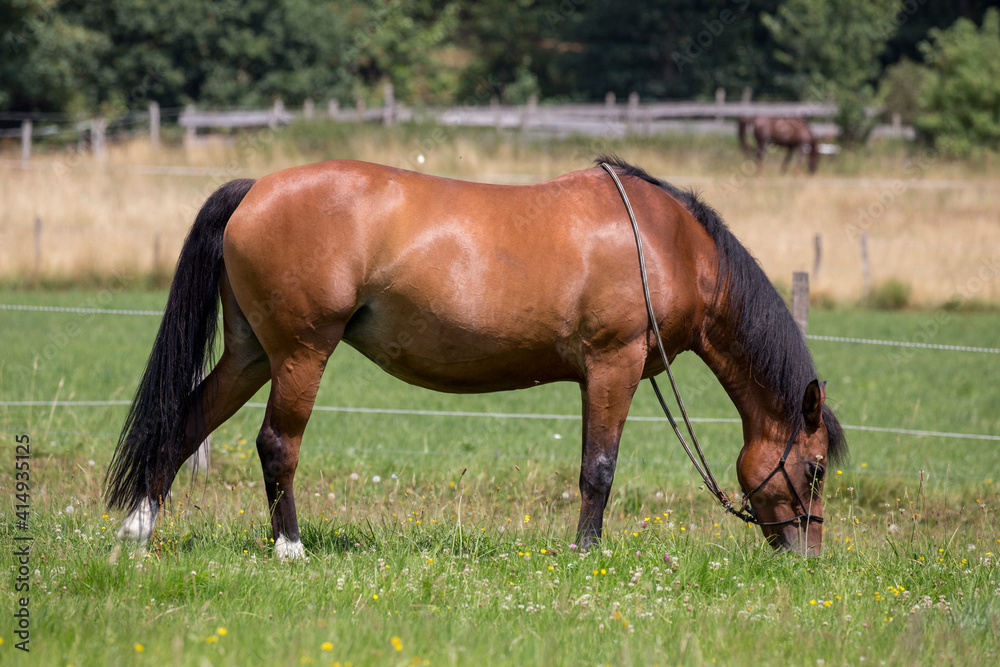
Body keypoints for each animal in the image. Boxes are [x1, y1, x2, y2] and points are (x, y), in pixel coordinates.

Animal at [107, 157, 844, 560]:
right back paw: (290, 546)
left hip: (251, 353)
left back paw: (139, 528)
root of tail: (256, 187)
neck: (671, 245)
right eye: (812, 470)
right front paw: (586, 552)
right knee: (276, 444)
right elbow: (600, 469)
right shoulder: (615, 364)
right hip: (299, 353)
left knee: (185, 420)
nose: (807, 556)